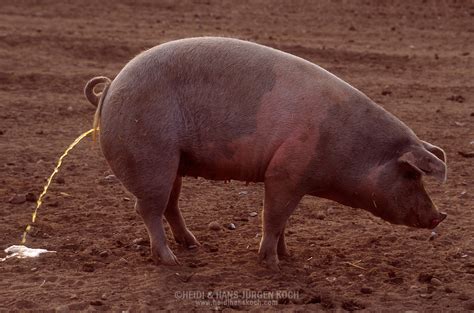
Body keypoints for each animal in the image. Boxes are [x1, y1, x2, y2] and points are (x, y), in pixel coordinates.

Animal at [85, 36, 448, 270]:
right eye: (410, 175)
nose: (439, 216)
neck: (350, 146)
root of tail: (111, 86)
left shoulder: (294, 181)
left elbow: (284, 220)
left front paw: (289, 256)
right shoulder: (285, 173)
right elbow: (272, 217)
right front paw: (272, 264)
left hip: (174, 162)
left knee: (169, 206)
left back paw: (193, 245)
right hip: (151, 157)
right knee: (147, 209)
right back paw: (170, 261)